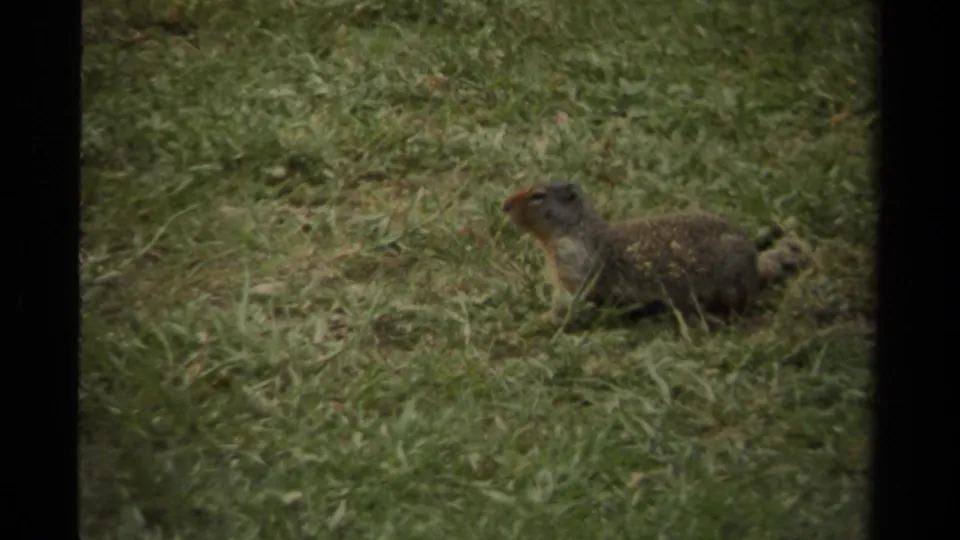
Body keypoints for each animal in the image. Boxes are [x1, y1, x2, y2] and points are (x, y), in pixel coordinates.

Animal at [502, 181, 810, 325]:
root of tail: (755, 266)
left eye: (538, 196)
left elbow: (572, 303)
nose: (504, 204)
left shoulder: (574, 265)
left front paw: (541, 319)